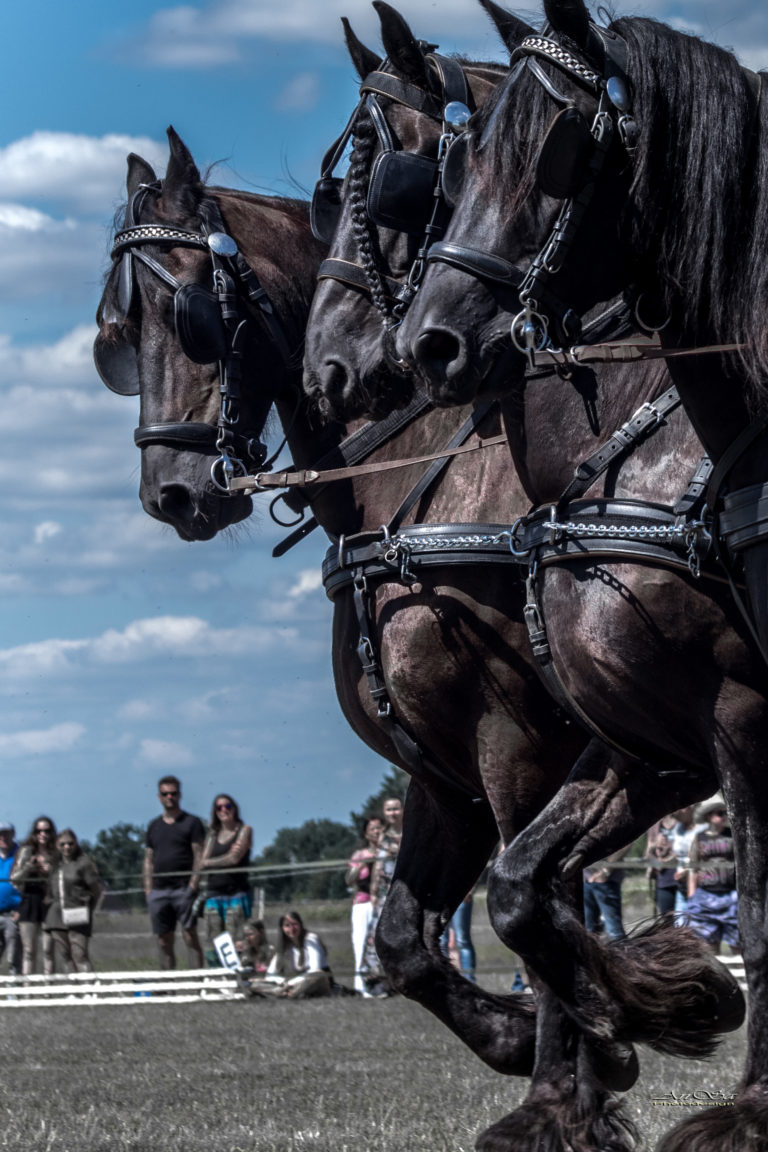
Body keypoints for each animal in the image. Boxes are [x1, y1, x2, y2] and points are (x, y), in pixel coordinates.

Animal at [391, 4, 768, 1147]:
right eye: (461, 161)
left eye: (555, 150)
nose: (425, 343)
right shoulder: (642, 740)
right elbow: (521, 889)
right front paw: (648, 1007)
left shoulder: (737, 716)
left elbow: (761, 909)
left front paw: (740, 1105)